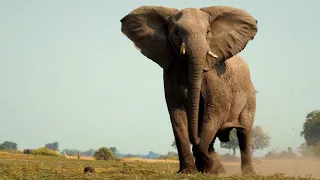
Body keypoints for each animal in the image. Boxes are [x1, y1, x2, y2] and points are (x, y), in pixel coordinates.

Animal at [120, 5, 258, 174]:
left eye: (208, 32)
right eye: (177, 32)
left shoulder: (216, 81)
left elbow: (213, 115)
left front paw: (209, 166)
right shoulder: (170, 74)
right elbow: (178, 117)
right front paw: (190, 171)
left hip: (249, 98)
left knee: (244, 133)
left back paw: (247, 172)